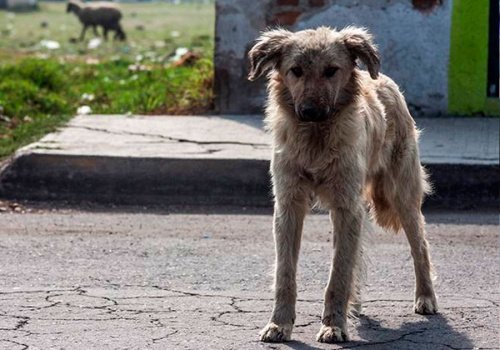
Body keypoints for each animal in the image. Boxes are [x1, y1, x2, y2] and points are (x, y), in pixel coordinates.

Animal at [248, 26, 436, 344]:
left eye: (331, 70)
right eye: (296, 70)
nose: (310, 111)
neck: (315, 140)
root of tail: (386, 81)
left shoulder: (346, 208)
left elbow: (338, 274)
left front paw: (334, 325)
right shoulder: (289, 206)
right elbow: (285, 273)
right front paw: (279, 324)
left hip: (402, 196)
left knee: (419, 246)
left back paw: (425, 297)